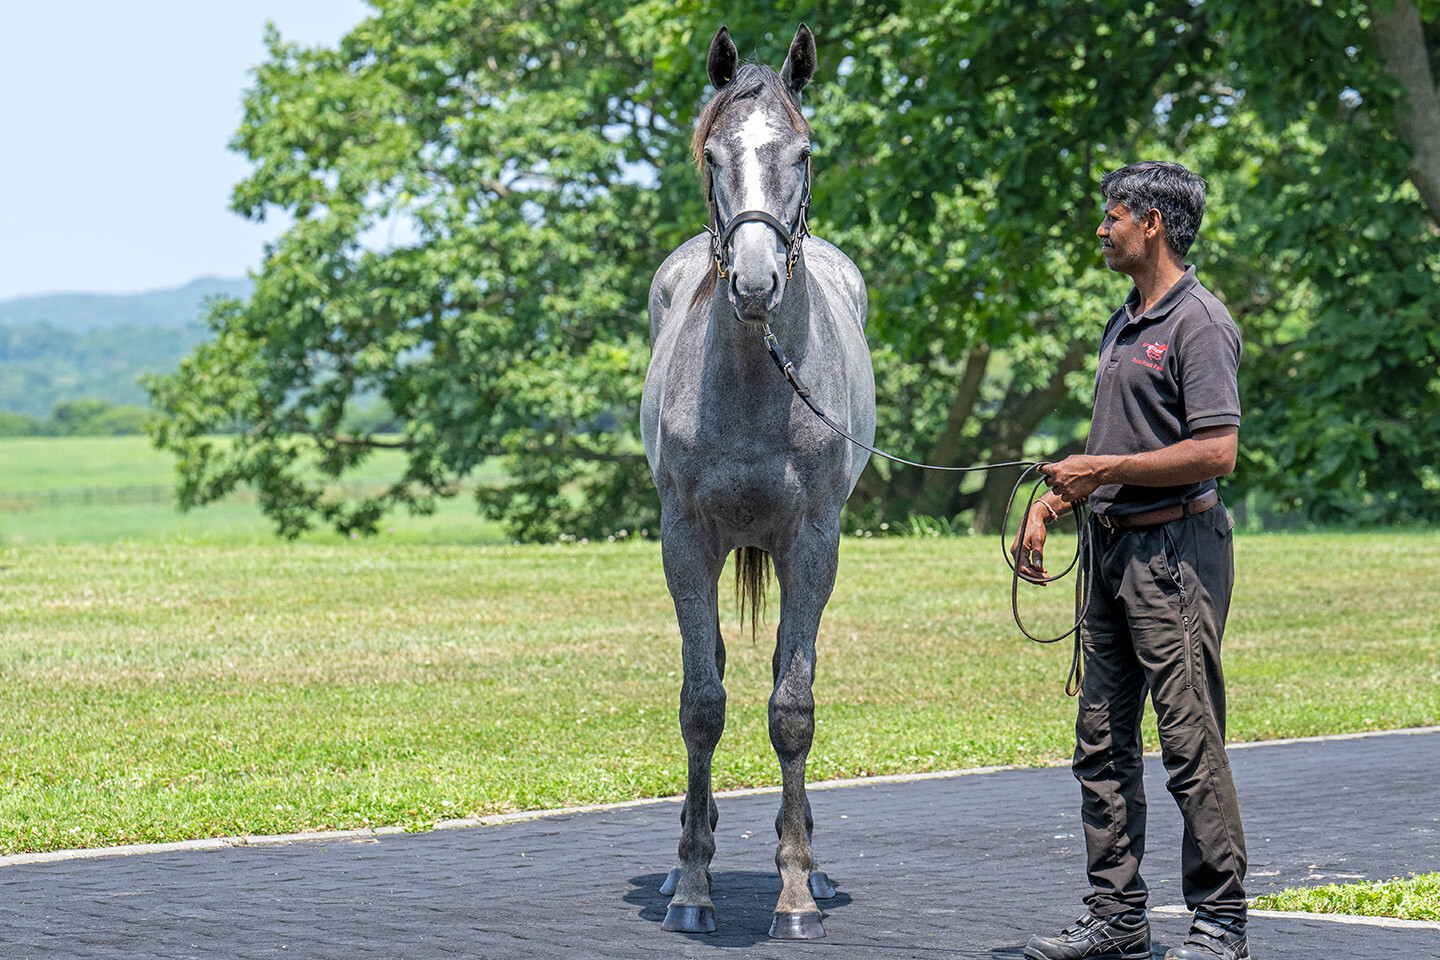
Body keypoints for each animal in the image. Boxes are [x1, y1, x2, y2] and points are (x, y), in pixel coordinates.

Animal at [645, 24, 875, 944]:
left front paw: (795, 892)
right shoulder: (684, 539)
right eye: (713, 155)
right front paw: (694, 886)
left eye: (803, 153)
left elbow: (792, 707)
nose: (752, 282)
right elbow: (701, 703)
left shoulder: (813, 541)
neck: (753, 379)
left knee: (785, 666)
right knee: (707, 663)